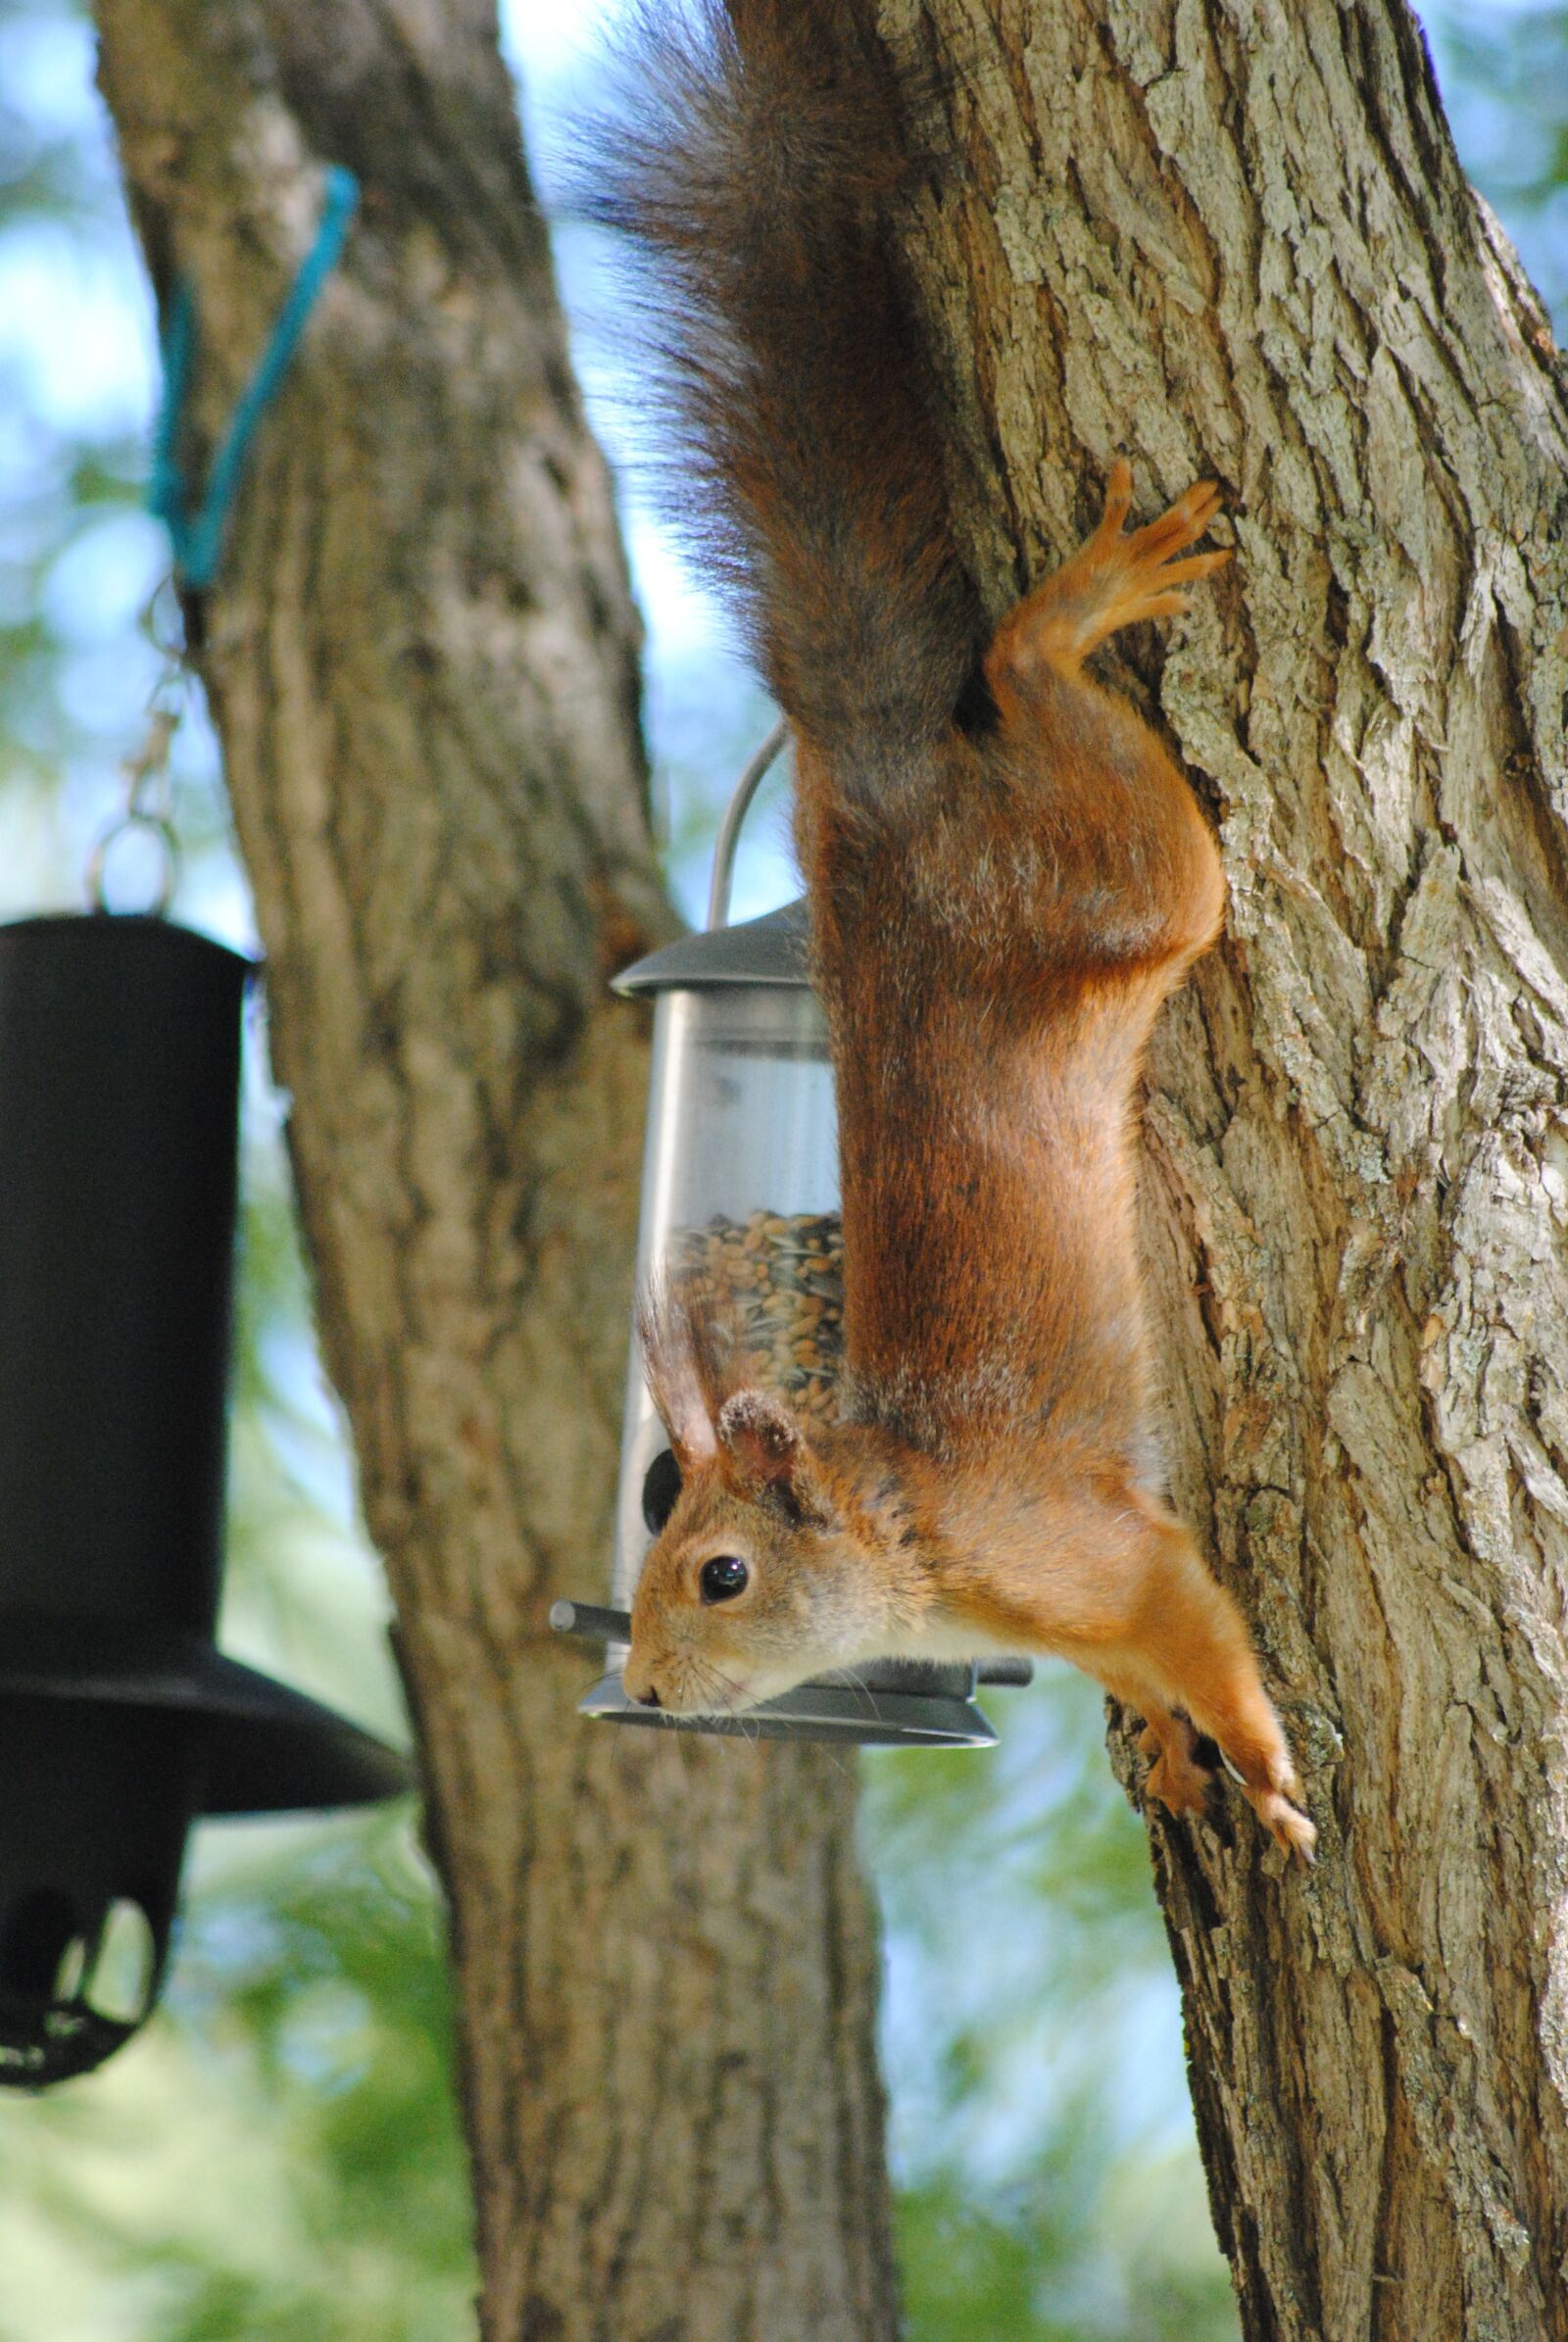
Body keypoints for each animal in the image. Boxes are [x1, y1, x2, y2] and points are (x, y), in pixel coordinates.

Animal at [597, 0, 1315, 1863]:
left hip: (1132, 885)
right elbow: (1153, 1672)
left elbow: (1197, 1626)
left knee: (1026, 681)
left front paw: (1256, 1755)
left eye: (718, 1571)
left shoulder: (1097, 1550)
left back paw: (1074, 613)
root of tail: (887, 806)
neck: (914, 1529)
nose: (650, 1689)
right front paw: (1179, 1751)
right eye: (653, 1549)